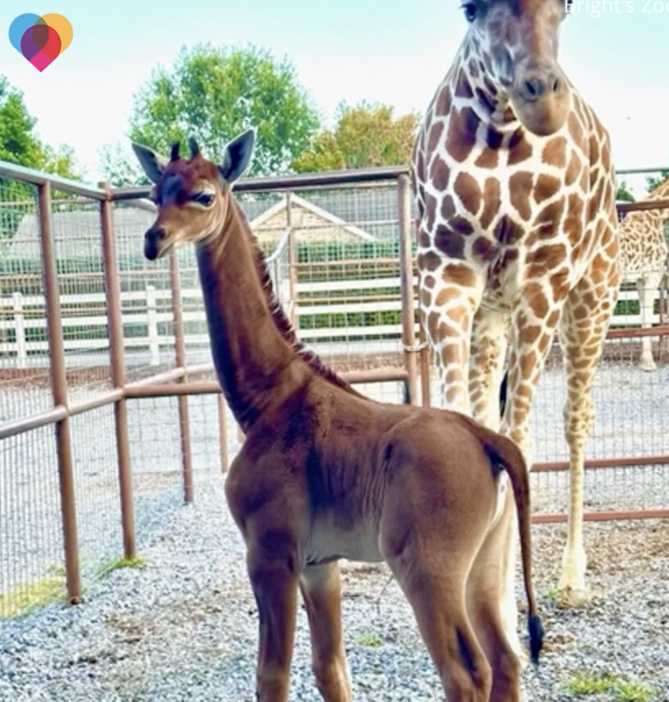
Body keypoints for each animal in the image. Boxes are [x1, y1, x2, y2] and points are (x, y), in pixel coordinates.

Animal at [132, 130, 543, 701]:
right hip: (487, 563)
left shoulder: (271, 553)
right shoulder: (318, 565)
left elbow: (272, 675)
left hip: (427, 568)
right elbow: (331, 669)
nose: (155, 239)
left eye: (204, 196)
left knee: (468, 672)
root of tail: (490, 442)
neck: (267, 399)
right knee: (506, 660)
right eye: (155, 192)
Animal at [411, 0, 620, 650]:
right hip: (492, 316)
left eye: (567, 7)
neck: (501, 134)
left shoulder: (542, 282)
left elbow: (520, 442)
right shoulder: (446, 277)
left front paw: (508, 613)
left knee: (576, 422)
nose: (541, 97)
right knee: (489, 419)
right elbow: (468, 431)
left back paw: (573, 577)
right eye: (469, 9)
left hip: (592, 297)